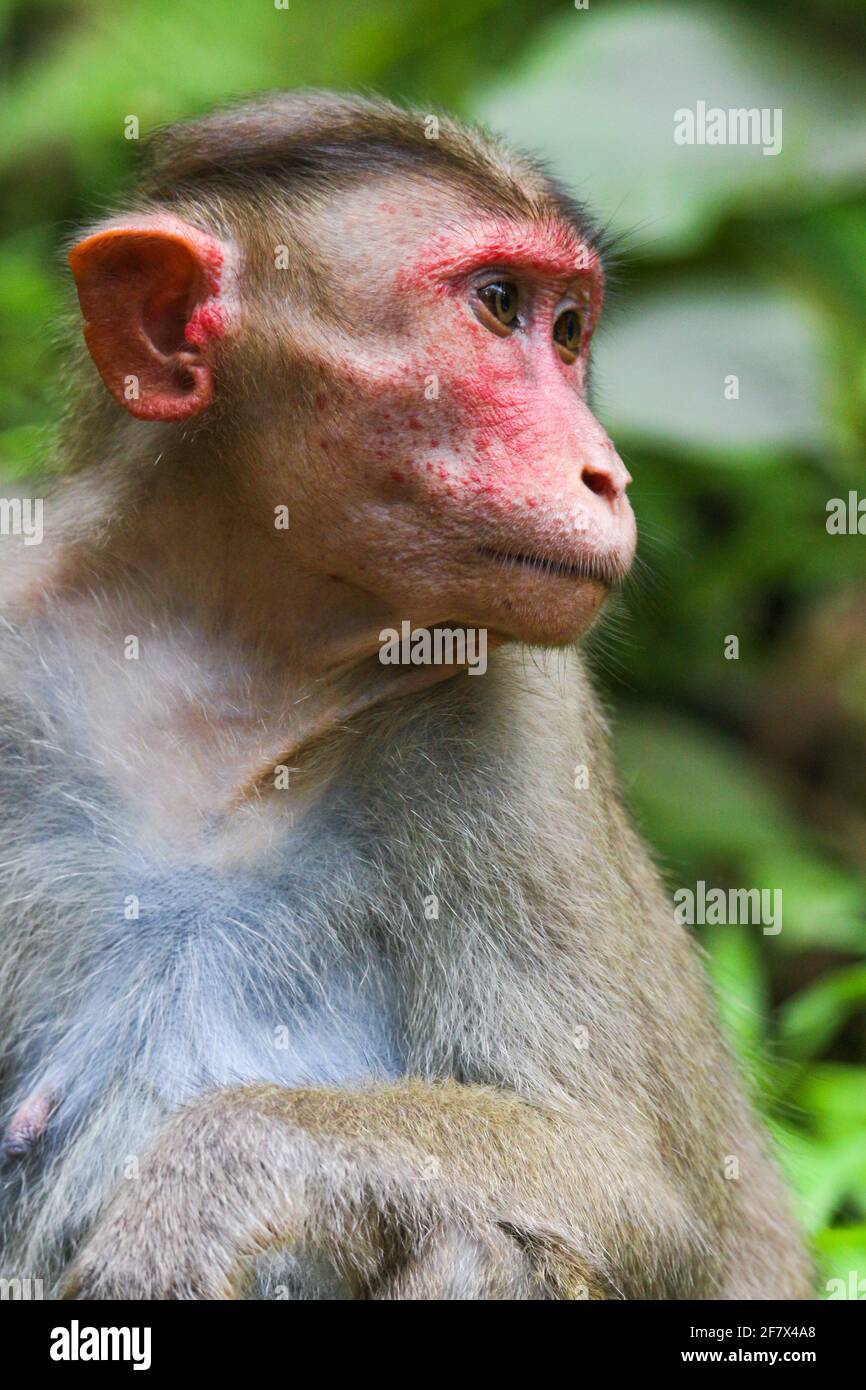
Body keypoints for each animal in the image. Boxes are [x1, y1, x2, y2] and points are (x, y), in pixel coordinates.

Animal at [0, 91, 812, 1300]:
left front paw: (210, 1176)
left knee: (487, 1247)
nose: (608, 474)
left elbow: (628, 1183)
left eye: (567, 332)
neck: (230, 654)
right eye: (498, 305)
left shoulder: (521, 711)